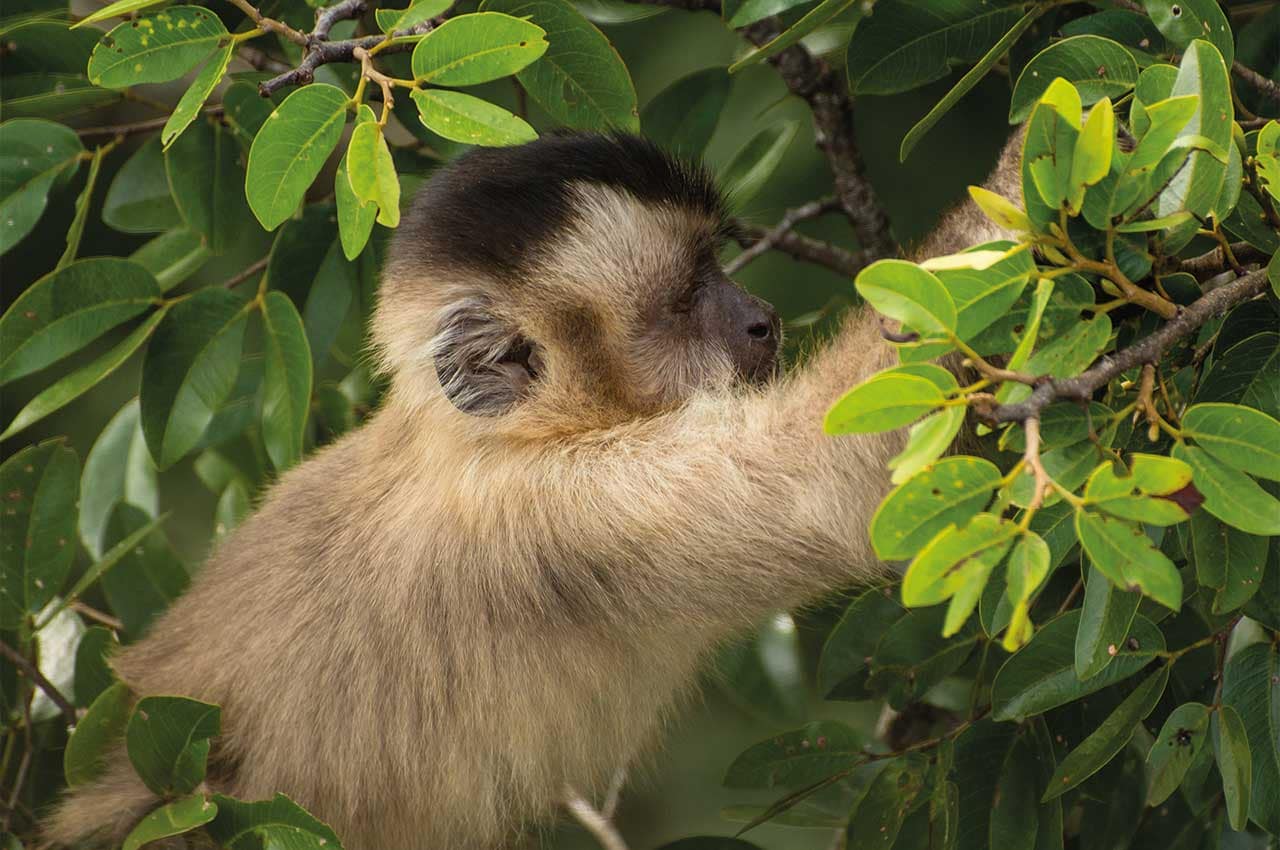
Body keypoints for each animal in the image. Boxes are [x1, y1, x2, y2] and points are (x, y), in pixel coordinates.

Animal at [45, 129, 1013, 844]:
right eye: (685, 297)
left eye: (718, 267)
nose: (761, 320)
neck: (479, 439)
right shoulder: (560, 512)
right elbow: (838, 479)